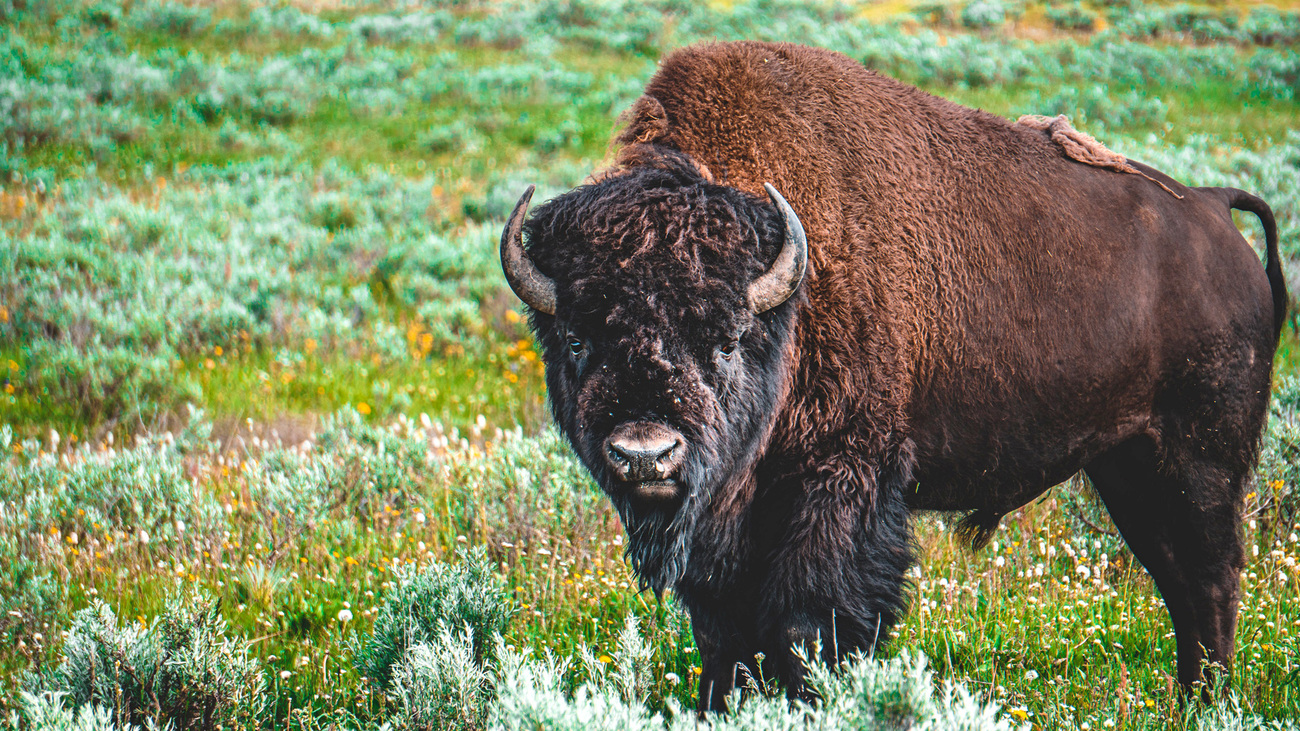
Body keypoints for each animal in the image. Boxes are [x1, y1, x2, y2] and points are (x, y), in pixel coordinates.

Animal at [493, 39, 1279, 707]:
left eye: (726, 338)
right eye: (576, 338)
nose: (646, 453)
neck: (789, 300)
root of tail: (1214, 211)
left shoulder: (842, 480)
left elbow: (809, 625)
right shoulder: (726, 528)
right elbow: (724, 634)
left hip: (1199, 460)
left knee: (1210, 579)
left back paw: (1208, 702)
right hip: (1127, 466)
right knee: (1180, 580)